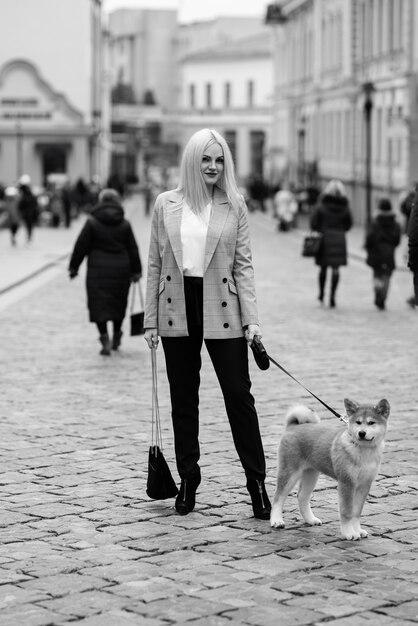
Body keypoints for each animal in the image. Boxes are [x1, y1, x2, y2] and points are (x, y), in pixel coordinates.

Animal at [270, 398, 390, 540]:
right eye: (358, 422)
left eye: (371, 423)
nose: (361, 433)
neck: (363, 451)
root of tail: (293, 426)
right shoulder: (347, 483)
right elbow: (347, 512)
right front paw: (349, 533)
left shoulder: (364, 485)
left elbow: (356, 513)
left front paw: (358, 530)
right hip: (290, 472)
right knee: (278, 497)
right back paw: (276, 521)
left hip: (311, 475)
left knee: (302, 497)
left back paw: (310, 519)